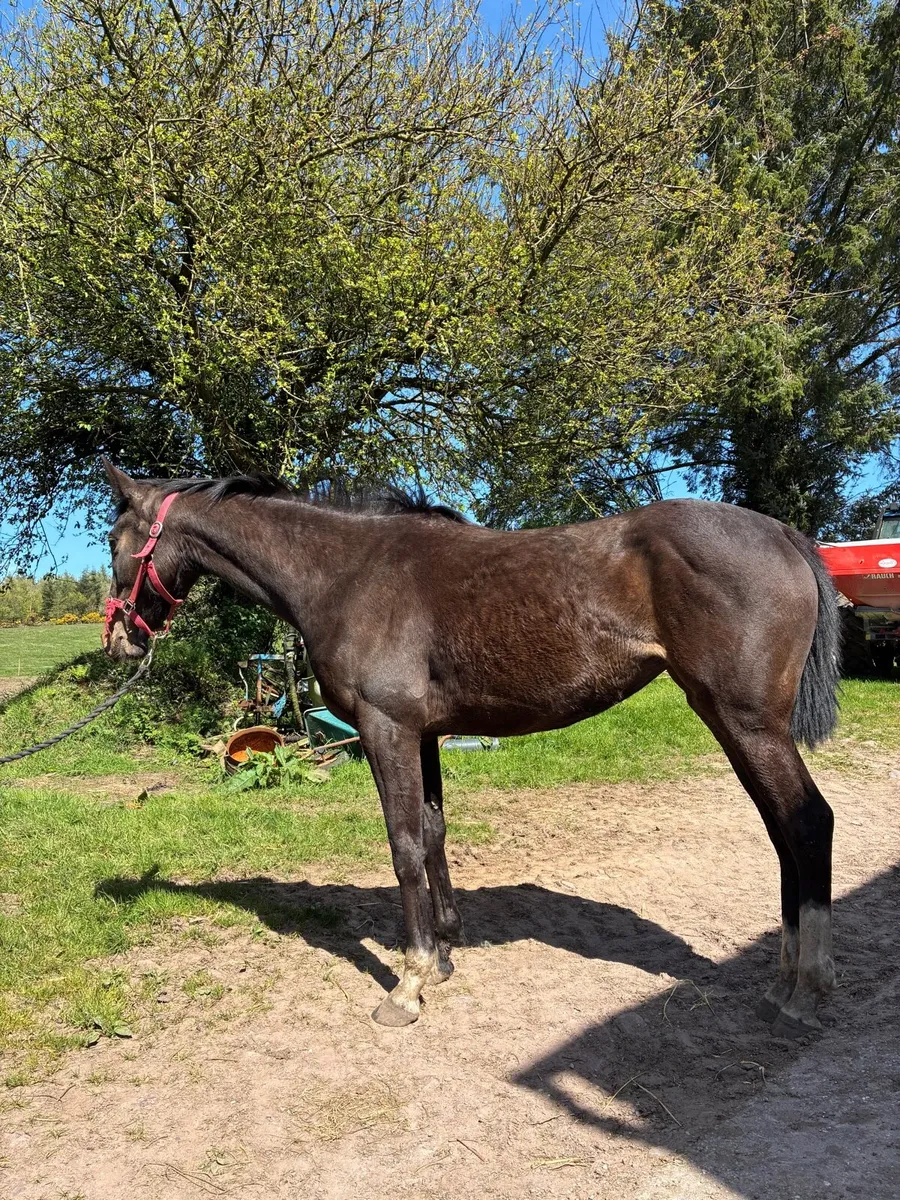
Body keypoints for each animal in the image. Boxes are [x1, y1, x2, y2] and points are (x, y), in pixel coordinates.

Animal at [101, 459, 840, 1035]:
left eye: (114, 542)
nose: (120, 640)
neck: (348, 573)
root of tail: (781, 531)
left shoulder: (386, 729)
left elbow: (403, 846)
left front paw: (410, 982)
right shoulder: (423, 734)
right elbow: (432, 834)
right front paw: (447, 952)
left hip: (746, 722)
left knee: (807, 822)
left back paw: (808, 989)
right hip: (733, 724)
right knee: (781, 829)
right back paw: (782, 980)